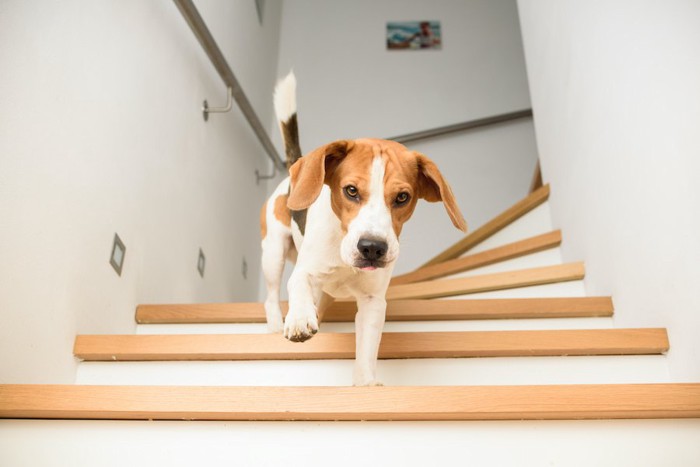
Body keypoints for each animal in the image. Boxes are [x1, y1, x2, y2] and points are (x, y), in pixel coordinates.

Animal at [260, 72, 468, 388]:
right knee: (271, 296)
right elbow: (297, 284)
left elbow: (368, 347)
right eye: (351, 190)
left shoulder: (373, 302)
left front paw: (366, 382)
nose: (372, 248)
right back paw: (275, 325)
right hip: (273, 251)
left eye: (403, 197)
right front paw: (298, 319)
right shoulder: (305, 271)